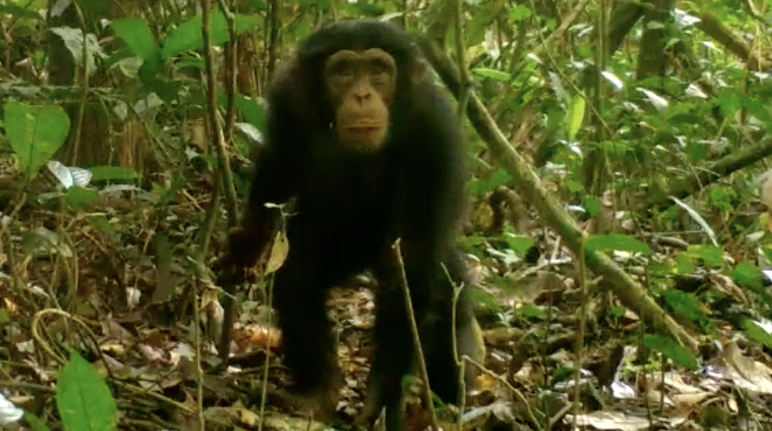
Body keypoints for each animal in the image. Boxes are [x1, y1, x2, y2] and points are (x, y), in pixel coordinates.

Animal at [219, 18, 482, 431]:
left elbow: (409, 270)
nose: (361, 95)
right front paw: (248, 242)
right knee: (299, 275)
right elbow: (280, 164)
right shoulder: (289, 99)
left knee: (445, 294)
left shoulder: (435, 135)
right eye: (343, 72)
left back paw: (450, 396)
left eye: (378, 71)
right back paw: (317, 392)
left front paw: (377, 401)